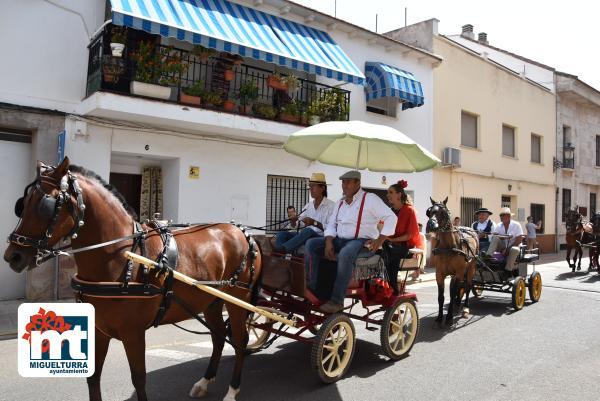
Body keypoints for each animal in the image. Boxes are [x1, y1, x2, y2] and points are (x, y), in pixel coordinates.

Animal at [2, 157, 260, 400]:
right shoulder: (98, 330)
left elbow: (138, 379)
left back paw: (232, 390)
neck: (121, 255)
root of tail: (242, 232)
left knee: (240, 340)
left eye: (46, 204)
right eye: (23, 204)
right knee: (218, 338)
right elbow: (93, 378)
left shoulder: (133, 333)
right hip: (211, 302)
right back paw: (204, 382)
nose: (12, 256)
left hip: (237, 300)